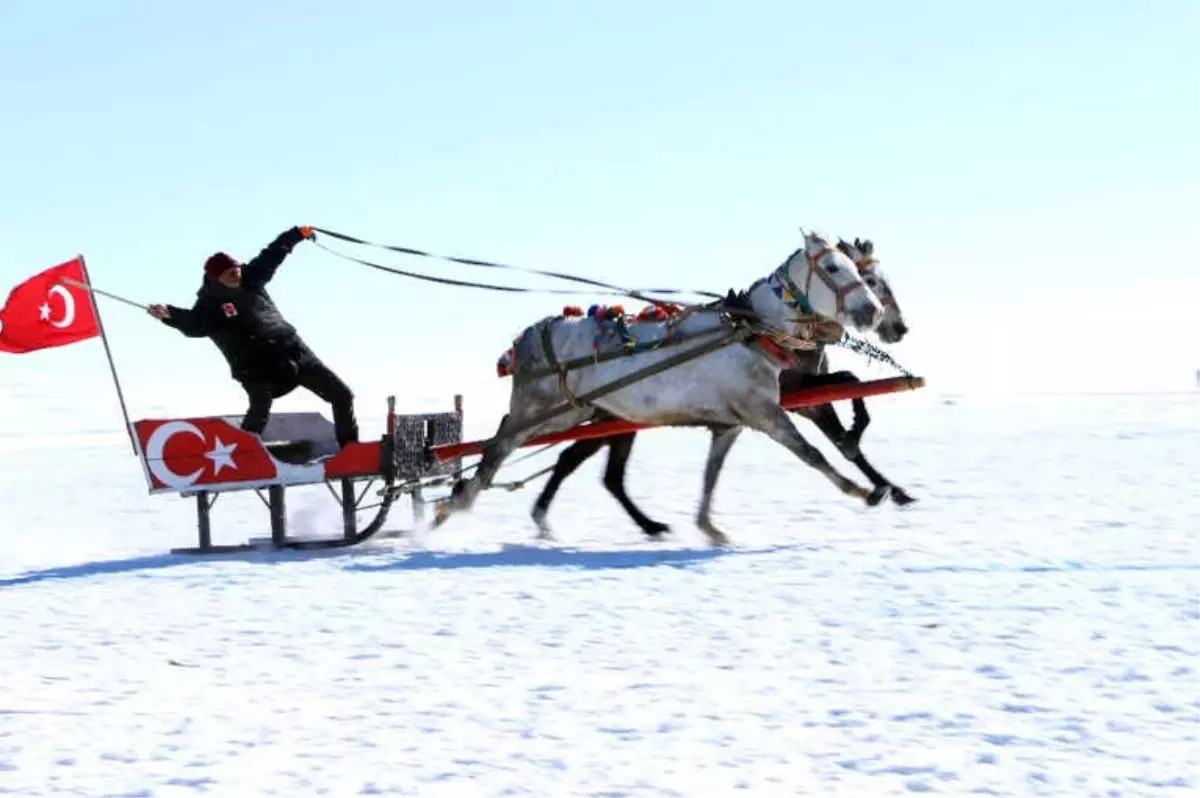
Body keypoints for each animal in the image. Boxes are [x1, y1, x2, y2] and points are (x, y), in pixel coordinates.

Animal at [441, 226, 892, 544]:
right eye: (834, 268)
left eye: (859, 270)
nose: (873, 312)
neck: (750, 333)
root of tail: (534, 334)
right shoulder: (765, 413)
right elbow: (811, 454)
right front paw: (863, 490)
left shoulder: (732, 422)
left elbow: (711, 475)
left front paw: (709, 528)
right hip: (544, 410)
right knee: (501, 443)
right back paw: (455, 504)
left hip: (574, 411)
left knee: (517, 443)